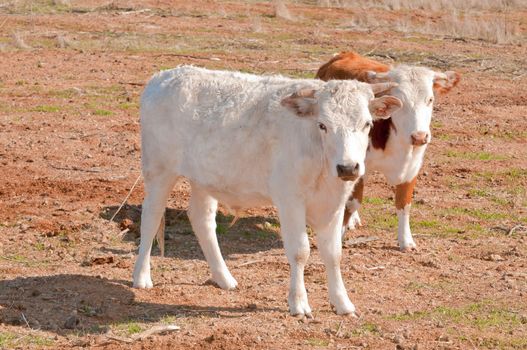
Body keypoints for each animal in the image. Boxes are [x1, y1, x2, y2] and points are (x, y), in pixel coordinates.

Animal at [316, 50, 460, 250]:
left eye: (430, 99)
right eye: (401, 102)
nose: (419, 136)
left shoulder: (412, 166)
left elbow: (404, 204)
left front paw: (406, 240)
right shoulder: (357, 165)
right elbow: (353, 202)